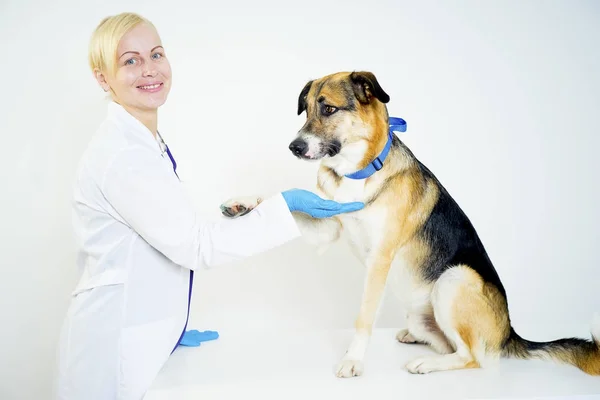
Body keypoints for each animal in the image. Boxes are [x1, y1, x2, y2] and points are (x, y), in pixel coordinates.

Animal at [221, 70, 600, 376]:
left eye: (329, 109)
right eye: (308, 108)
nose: (294, 147)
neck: (359, 170)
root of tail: (509, 333)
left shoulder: (379, 259)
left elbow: (364, 317)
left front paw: (353, 360)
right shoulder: (326, 228)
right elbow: (286, 203)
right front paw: (243, 204)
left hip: (455, 278)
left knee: (474, 357)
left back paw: (427, 364)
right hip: (423, 314)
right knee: (451, 344)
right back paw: (416, 341)